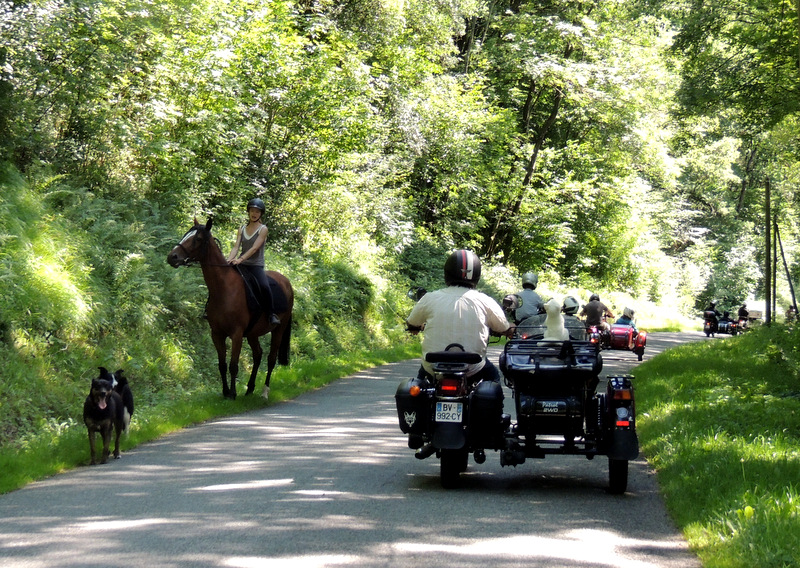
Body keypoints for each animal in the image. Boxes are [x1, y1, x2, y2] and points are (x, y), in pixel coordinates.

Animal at [166, 217, 294, 400]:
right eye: (186, 235)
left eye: (198, 239)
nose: (172, 257)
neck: (224, 288)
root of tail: (287, 282)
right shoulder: (217, 334)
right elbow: (222, 364)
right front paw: (225, 392)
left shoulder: (237, 334)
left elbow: (233, 365)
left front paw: (232, 393)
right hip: (253, 333)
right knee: (258, 354)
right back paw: (250, 388)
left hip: (279, 329)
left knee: (271, 358)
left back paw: (264, 391)